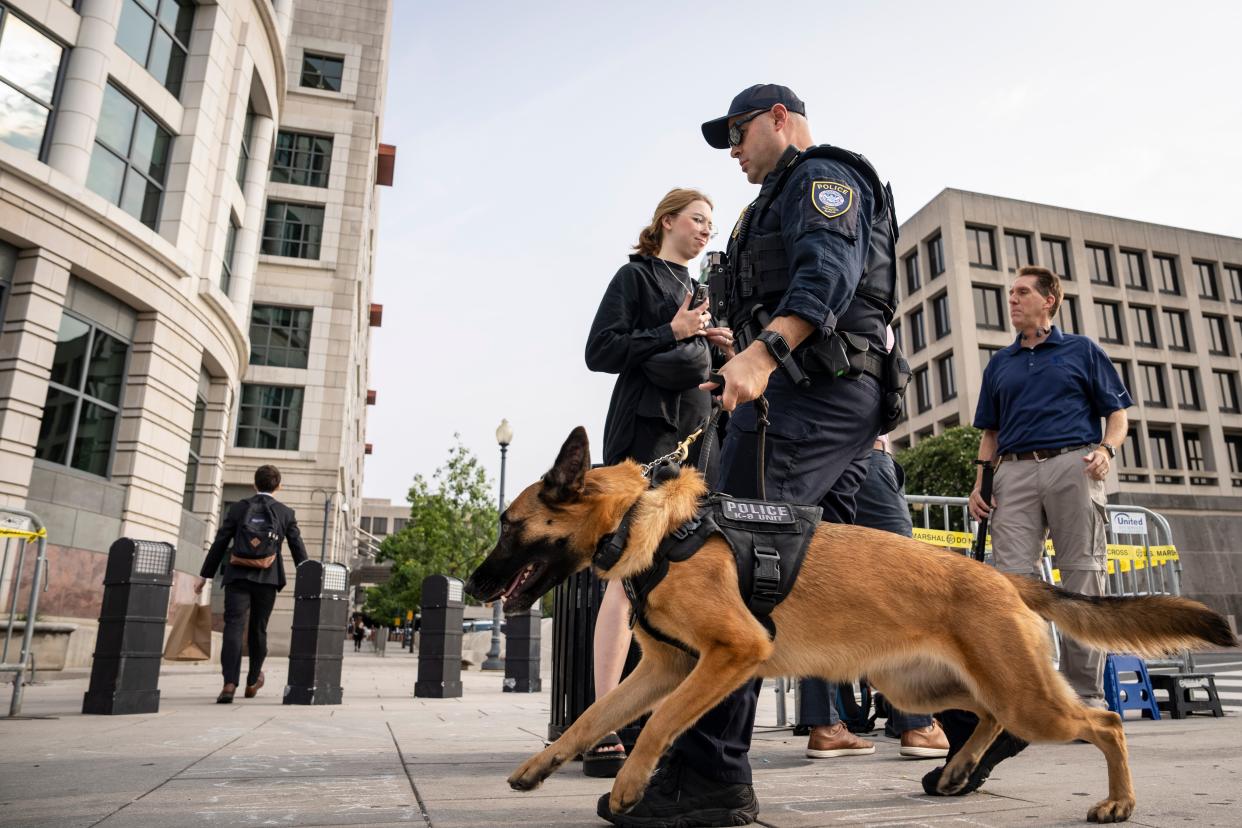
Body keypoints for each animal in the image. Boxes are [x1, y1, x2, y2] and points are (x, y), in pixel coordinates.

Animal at [464, 431, 1232, 824]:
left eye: (509, 526)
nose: (472, 587)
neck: (644, 522)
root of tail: (998, 575)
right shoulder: (665, 668)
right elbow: (592, 719)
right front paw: (541, 767)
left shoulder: (729, 656)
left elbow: (657, 725)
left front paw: (630, 788)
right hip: (925, 688)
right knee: (987, 716)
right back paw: (958, 769)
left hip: (1022, 696)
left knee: (1106, 721)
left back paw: (1119, 799)